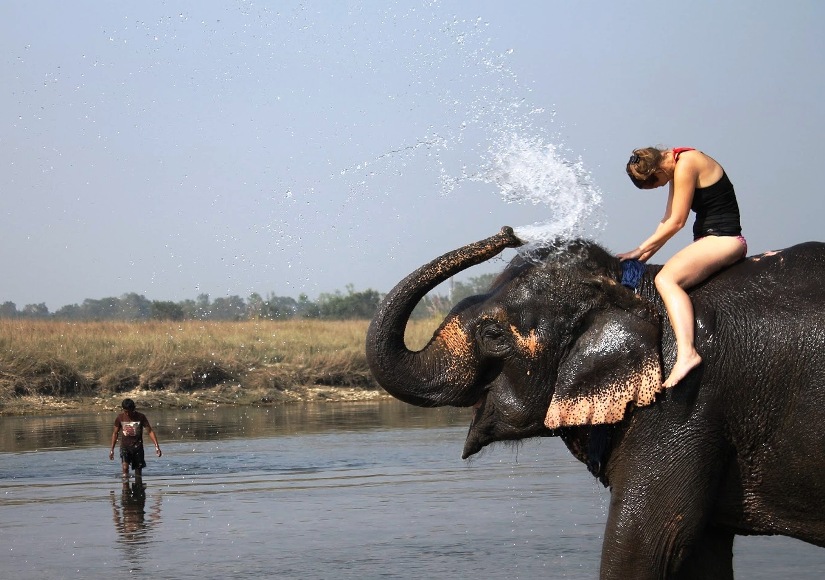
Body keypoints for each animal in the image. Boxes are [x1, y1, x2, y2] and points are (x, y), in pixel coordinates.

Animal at [366, 225, 824, 580]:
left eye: (493, 334)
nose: (508, 232)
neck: (633, 290)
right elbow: (698, 554)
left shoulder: (681, 406)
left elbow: (646, 543)